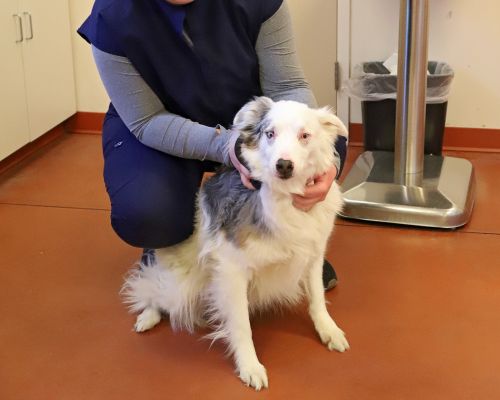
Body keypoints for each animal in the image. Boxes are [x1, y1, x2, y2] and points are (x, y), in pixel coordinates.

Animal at [120, 97, 348, 390]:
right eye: (269, 133)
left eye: (305, 135)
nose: (283, 165)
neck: (285, 197)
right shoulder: (232, 270)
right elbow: (241, 325)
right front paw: (250, 365)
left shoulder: (313, 253)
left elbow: (317, 298)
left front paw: (328, 330)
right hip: (181, 285)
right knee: (152, 288)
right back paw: (148, 315)